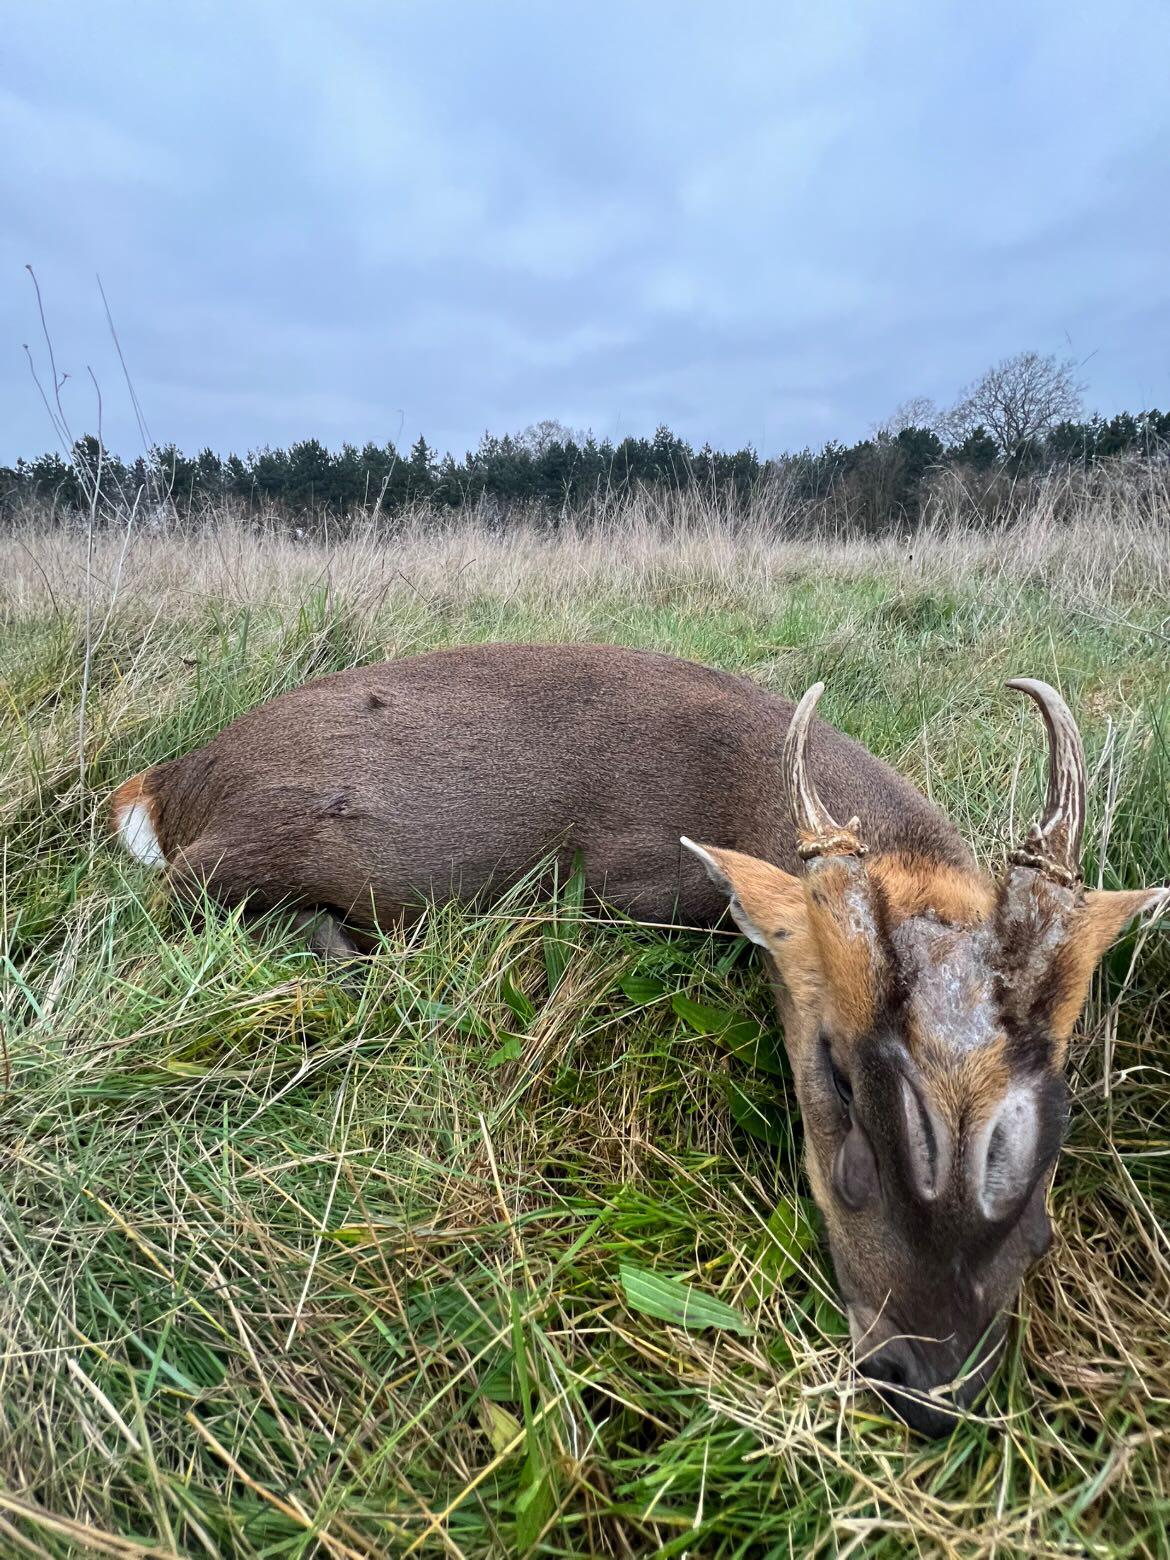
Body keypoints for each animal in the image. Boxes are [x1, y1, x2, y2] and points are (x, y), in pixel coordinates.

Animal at [109, 642, 1166, 1434]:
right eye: (835, 1073)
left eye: (1060, 1097)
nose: (933, 1386)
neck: (739, 795)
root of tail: (163, 782)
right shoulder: (624, 885)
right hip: (269, 841)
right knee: (184, 899)